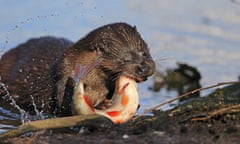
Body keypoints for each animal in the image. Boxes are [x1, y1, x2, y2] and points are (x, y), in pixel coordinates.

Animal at [0, 22, 156, 117]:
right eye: (125, 60)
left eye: (144, 53)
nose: (144, 68)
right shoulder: (64, 73)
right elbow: (63, 106)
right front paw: (102, 104)